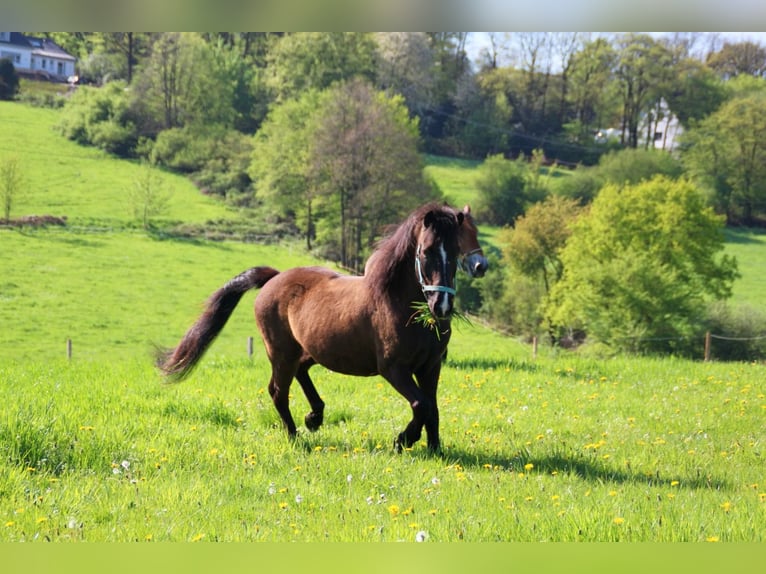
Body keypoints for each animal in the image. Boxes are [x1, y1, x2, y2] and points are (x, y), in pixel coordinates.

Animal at [157, 205, 472, 452]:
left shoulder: (430, 366)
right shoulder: (393, 368)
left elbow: (432, 407)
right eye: (427, 251)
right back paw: (295, 436)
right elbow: (421, 405)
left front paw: (434, 449)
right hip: (280, 352)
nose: (442, 305)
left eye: (456, 252)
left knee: (300, 372)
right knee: (277, 391)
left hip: (307, 349)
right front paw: (403, 440)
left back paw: (314, 418)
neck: (400, 304)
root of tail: (274, 278)